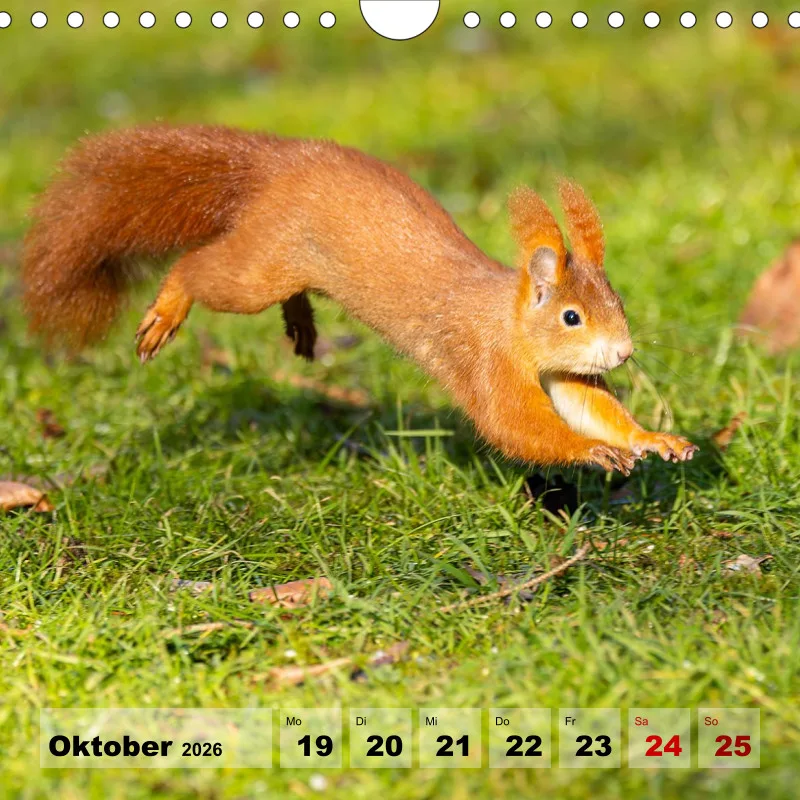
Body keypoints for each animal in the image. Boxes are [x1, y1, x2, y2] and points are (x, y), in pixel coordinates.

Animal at [22, 124, 697, 475]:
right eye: (571, 315)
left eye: (619, 303)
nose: (623, 353)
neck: (507, 321)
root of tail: (283, 160)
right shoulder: (485, 361)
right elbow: (517, 426)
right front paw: (593, 451)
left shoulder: (562, 372)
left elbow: (589, 405)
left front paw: (651, 438)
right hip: (262, 265)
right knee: (200, 269)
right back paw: (168, 310)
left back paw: (301, 322)